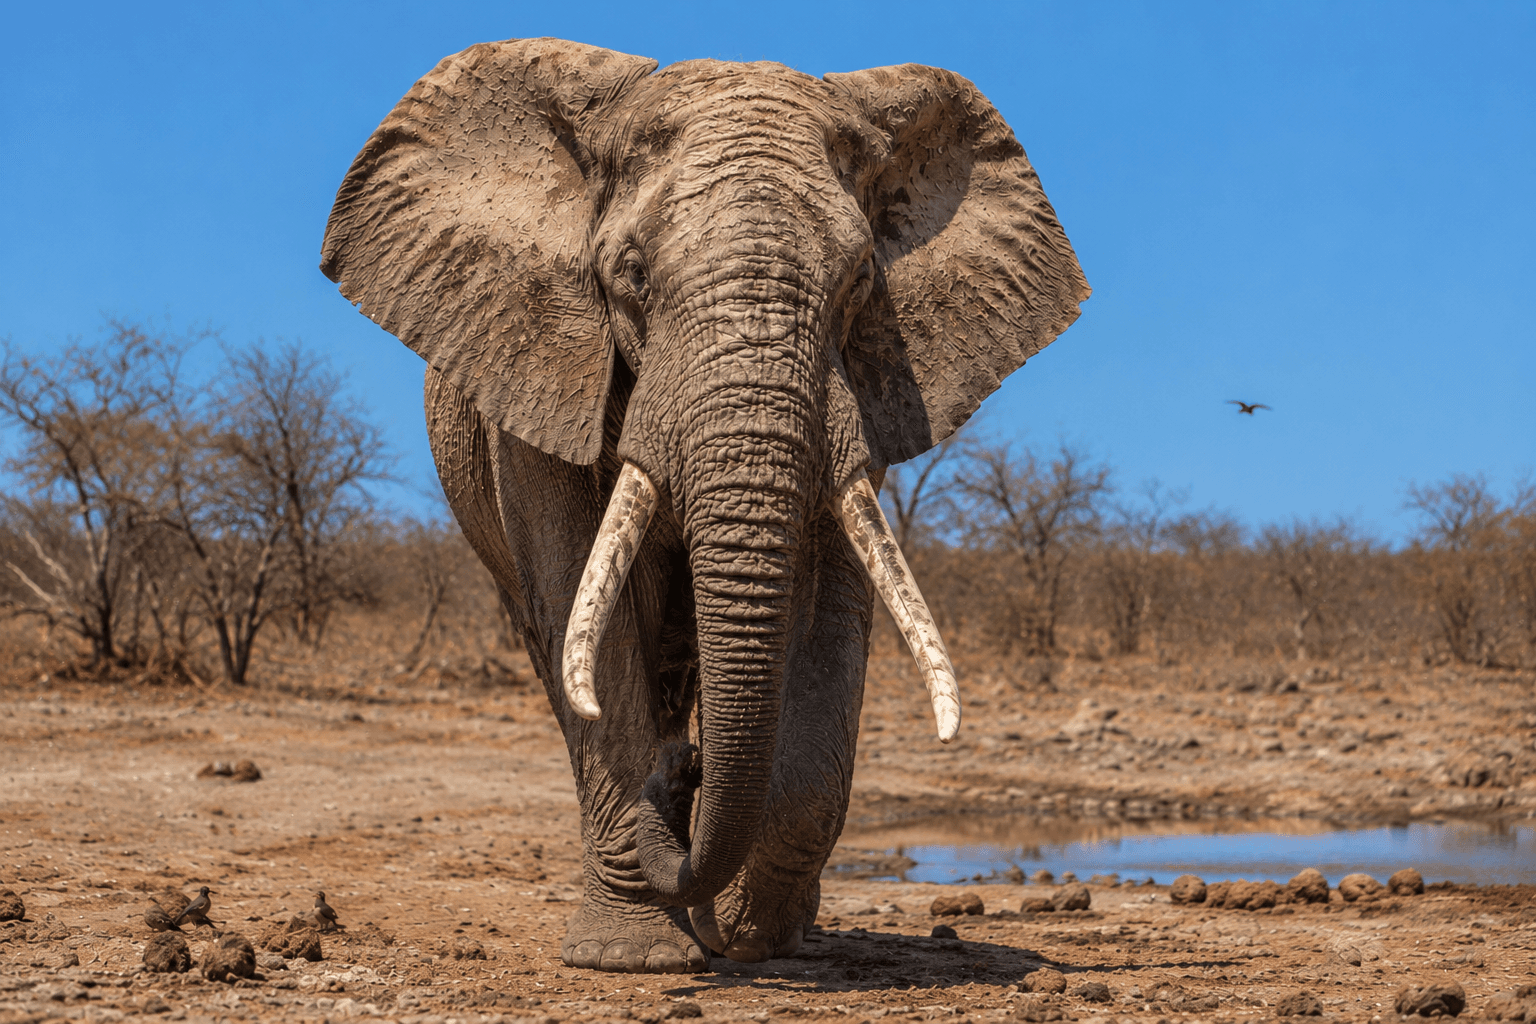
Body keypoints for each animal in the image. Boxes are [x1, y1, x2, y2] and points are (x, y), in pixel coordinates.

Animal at [320, 37, 1088, 973]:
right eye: (631, 277)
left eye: (860, 281)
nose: (684, 767)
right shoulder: (542, 381)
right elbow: (588, 608)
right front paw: (634, 956)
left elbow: (827, 609)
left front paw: (760, 939)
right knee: (567, 646)